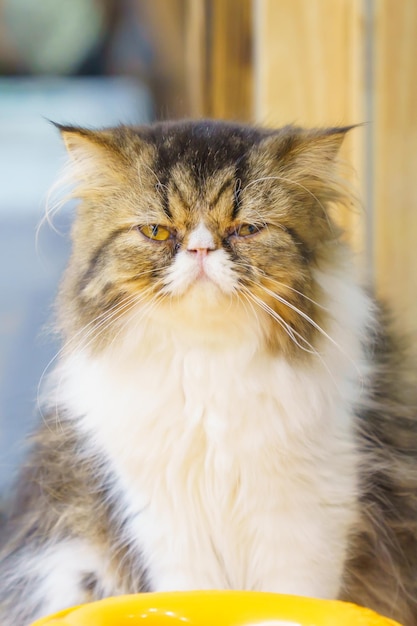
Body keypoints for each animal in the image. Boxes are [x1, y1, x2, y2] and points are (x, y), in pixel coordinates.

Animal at [0, 118, 416, 624]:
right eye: (157, 231)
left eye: (247, 228)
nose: (200, 250)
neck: (207, 366)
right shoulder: (166, 521)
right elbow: (190, 592)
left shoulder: (306, 516)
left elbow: (289, 601)